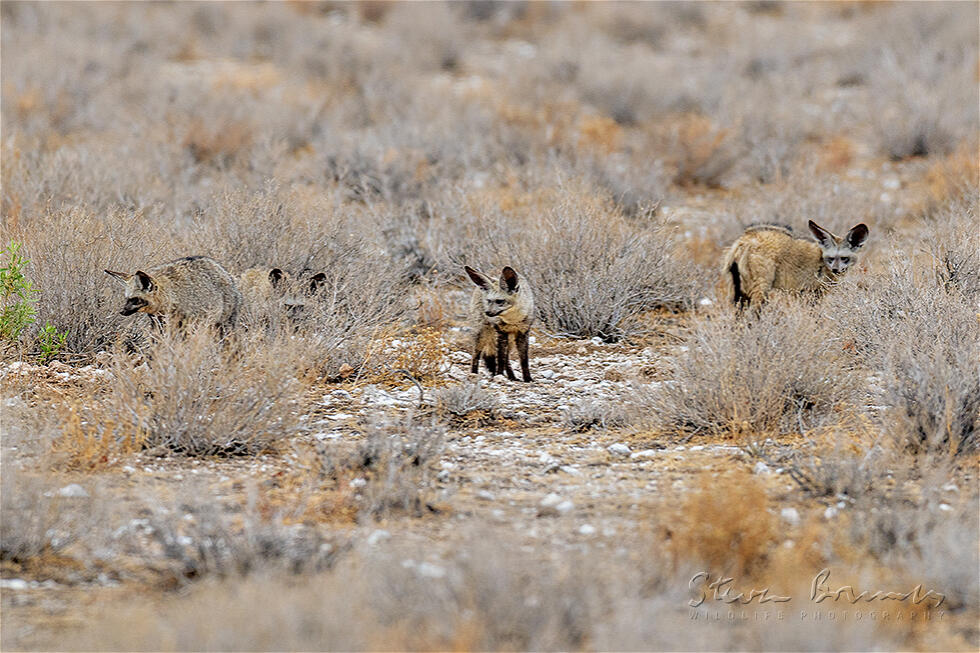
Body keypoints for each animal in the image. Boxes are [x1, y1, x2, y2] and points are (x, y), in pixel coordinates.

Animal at [722, 220, 869, 309]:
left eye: (844, 258)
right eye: (831, 258)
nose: (836, 270)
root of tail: (743, 241)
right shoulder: (810, 294)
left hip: (740, 293)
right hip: (760, 289)